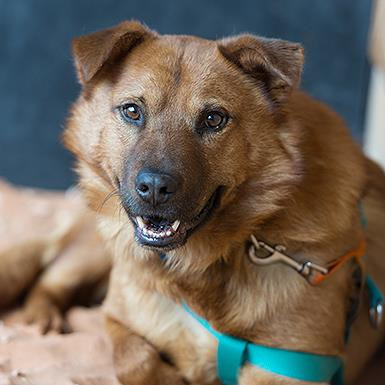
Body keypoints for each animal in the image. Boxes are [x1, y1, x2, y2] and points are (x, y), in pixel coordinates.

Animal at [63, 21, 384, 384]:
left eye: (213, 119)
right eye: (132, 111)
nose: (155, 187)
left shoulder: (291, 368)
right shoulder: (116, 317)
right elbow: (134, 360)